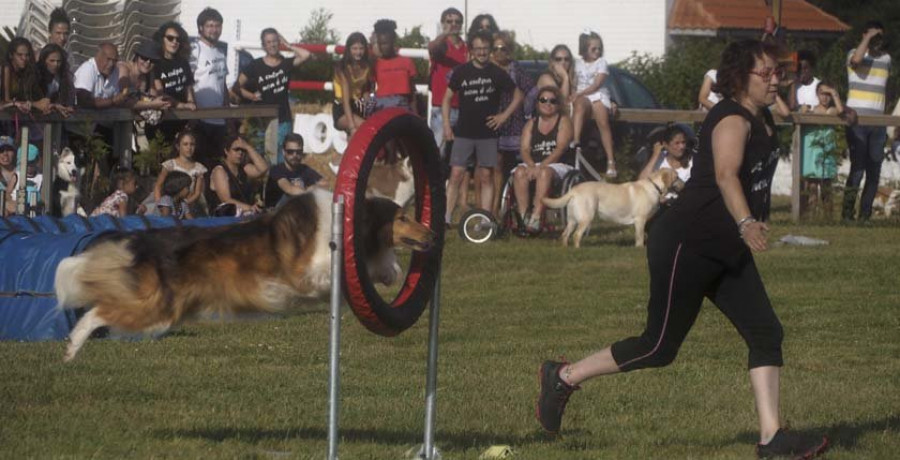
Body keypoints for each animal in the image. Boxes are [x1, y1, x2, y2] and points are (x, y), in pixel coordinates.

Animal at [56, 189, 436, 362]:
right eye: (402, 217)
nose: (432, 234)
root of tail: (146, 240)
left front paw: (389, 270)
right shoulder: (309, 271)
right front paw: (384, 268)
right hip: (156, 310)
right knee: (98, 310)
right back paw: (72, 346)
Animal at [540, 169, 684, 248]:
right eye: (677, 177)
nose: (685, 184)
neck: (654, 186)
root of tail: (574, 190)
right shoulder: (640, 220)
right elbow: (639, 237)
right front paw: (639, 248)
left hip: (572, 220)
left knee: (565, 234)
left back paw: (566, 249)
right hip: (586, 218)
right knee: (576, 235)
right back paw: (578, 249)